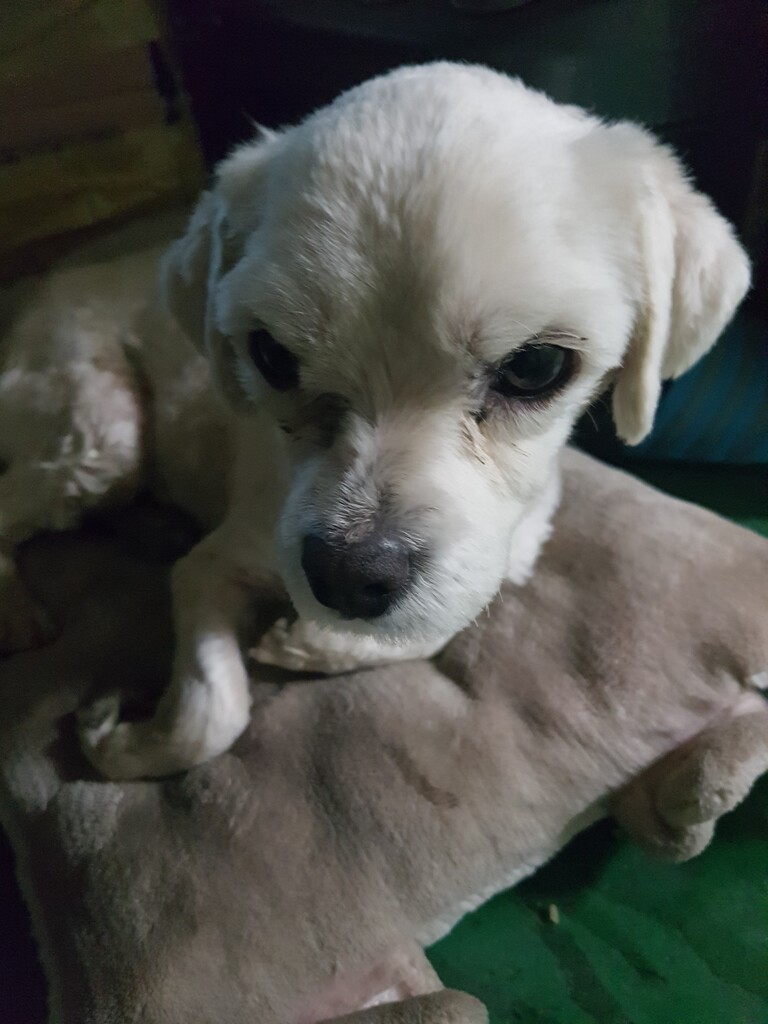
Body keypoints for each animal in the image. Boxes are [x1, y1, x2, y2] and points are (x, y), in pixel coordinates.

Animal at [0, 63, 750, 779]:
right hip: (101, 435)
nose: (346, 578)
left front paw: (308, 643)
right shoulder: (216, 563)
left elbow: (439, 622)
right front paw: (117, 738)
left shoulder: (504, 557)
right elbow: (211, 714)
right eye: (271, 355)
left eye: (537, 366)